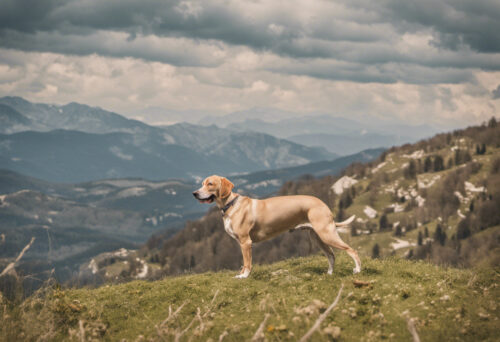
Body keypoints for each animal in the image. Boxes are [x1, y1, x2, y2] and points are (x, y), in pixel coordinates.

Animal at [193, 176, 362, 278]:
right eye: (202, 184)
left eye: (210, 184)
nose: (194, 193)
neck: (230, 204)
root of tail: (323, 204)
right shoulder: (241, 244)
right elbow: (243, 262)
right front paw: (240, 274)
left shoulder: (246, 242)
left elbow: (247, 262)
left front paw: (244, 276)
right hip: (318, 238)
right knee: (331, 255)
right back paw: (329, 273)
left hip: (327, 235)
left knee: (352, 250)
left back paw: (358, 270)